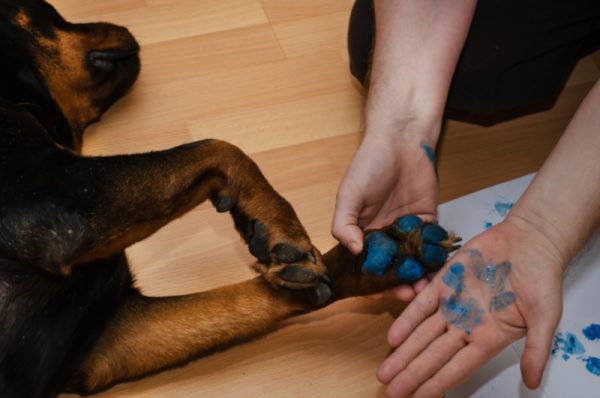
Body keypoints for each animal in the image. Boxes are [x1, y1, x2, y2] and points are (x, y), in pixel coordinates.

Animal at [1, 1, 460, 396]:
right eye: (52, 11)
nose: (127, 28)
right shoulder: (55, 198)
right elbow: (220, 147)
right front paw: (278, 223)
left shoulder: (107, 339)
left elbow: (259, 296)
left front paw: (381, 257)